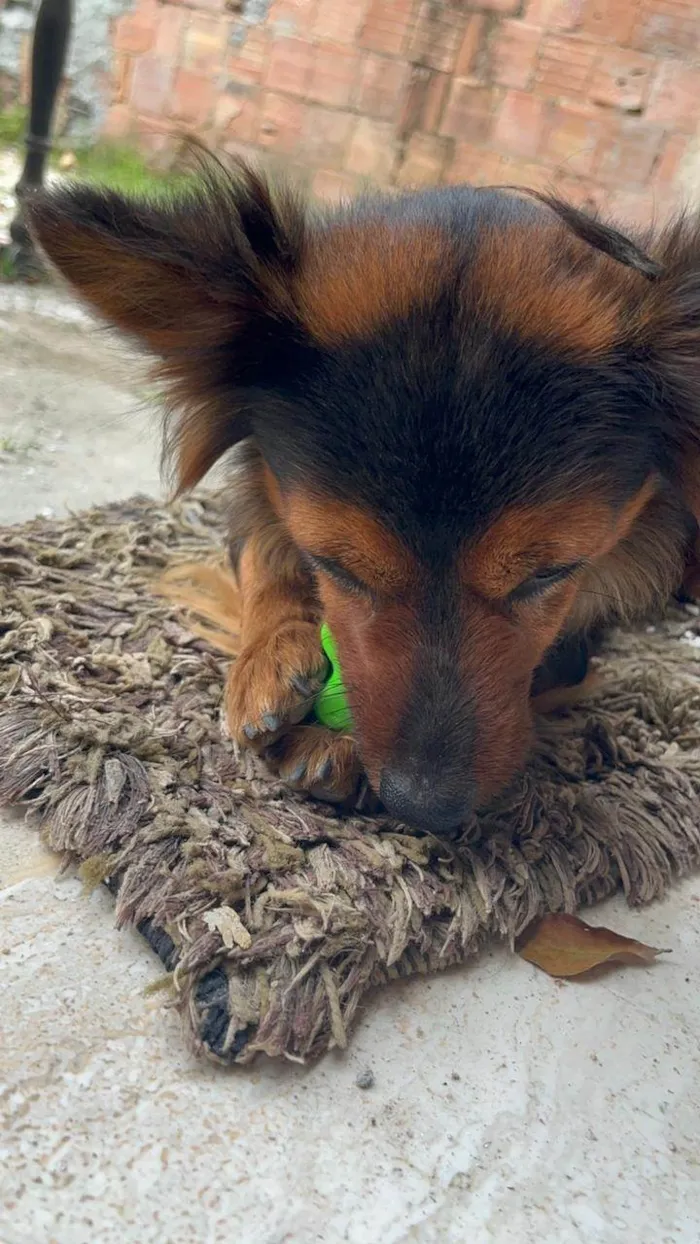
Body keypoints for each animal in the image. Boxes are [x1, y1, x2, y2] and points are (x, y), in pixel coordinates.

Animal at [27, 155, 700, 835]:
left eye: (550, 575)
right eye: (336, 566)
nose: (421, 805)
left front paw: (336, 743)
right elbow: (262, 557)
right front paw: (269, 656)